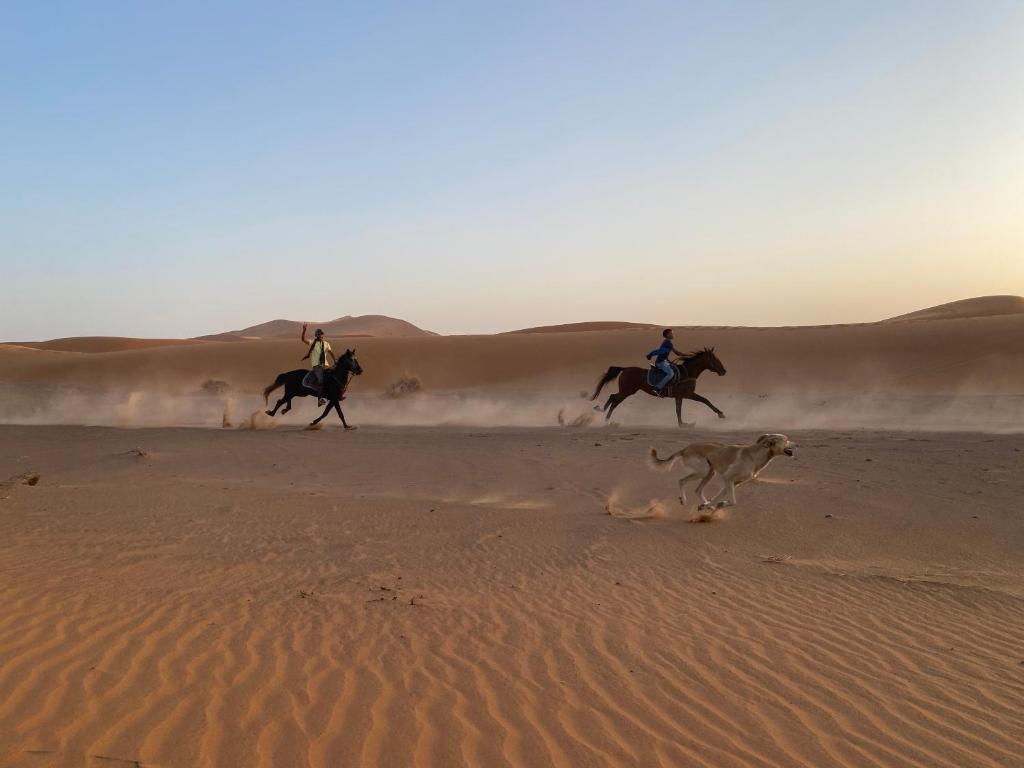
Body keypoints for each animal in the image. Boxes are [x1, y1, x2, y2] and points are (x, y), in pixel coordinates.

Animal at [589, 348, 724, 428]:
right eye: (715, 359)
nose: (724, 371)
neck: (687, 373)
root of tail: (625, 369)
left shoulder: (679, 396)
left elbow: (678, 410)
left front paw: (682, 424)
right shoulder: (688, 394)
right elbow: (705, 400)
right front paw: (721, 414)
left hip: (626, 391)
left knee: (613, 398)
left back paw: (602, 413)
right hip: (627, 391)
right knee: (614, 400)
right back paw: (606, 419)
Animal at [651, 434, 794, 512]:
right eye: (786, 440)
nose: (796, 444)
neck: (755, 456)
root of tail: (685, 448)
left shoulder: (734, 483)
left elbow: (718, 497)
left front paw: (709, 505)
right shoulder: (728, 478)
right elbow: (733, 501)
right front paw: (714, 505)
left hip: (710, 472)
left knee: (698, 490)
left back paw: (707, 507)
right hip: (703, 471)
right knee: (681, 481)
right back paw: (683, 499)